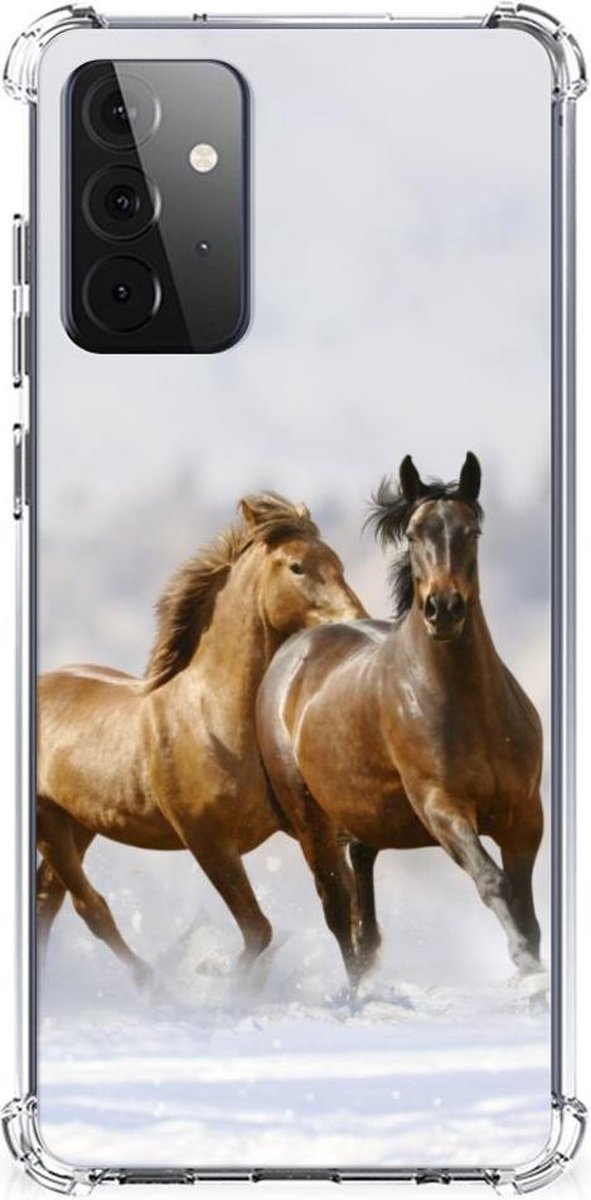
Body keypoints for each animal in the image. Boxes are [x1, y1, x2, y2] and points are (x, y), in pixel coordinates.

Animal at [37, 492, 366, 984]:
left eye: (337, 562)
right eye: (297, 567)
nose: (357, 621)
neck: (213, 717)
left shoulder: (306, 826)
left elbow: (341, 906)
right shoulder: (207, 841)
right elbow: (258, 930)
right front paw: (226, 983)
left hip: (79, 823)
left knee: (49, 900)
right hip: (50, 823)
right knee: (88, 906)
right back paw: (153, 983)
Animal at [256, 454, 544, 987]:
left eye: (472, 531)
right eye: (412, 534)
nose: (443, 609)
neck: (468, 707)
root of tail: (292, 653)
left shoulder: (524, 816)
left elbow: (526, 907)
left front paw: (533, 969)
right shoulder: (441, 807)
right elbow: (492, 881)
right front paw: (525, 966)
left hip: (363, 821)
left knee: (363, 917)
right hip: (311, 822)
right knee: (338, 910)